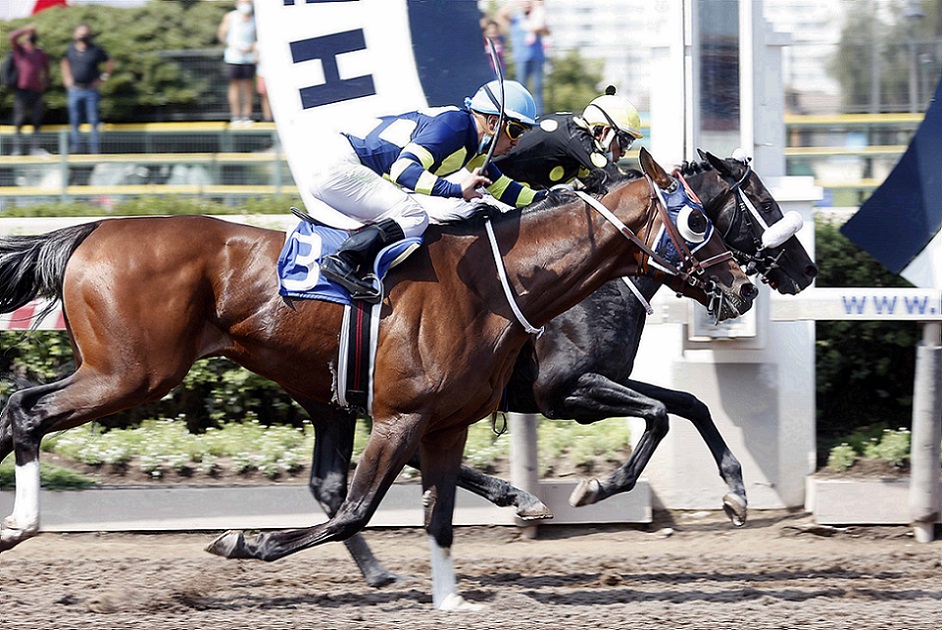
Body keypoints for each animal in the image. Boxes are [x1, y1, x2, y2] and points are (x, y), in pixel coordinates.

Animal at [0, 148, 756, 609]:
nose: (749, 285)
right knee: (30, 413)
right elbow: (357, 509)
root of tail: (92, 230)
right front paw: (245, 540)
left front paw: (453, 600)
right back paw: (23, 523)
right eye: (703, 218)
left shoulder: (448, 418)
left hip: (136, 371)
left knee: (18, 403)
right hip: (133, 373)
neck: (502, 281)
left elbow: (438, 516)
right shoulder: (462, 404)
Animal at [297, 150, 818, 589]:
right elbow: (658, 415)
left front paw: (736, 493)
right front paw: (596, 487)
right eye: (765, 203)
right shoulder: (563, 392)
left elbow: (690, 404)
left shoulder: (607, 377)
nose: (806, 270)